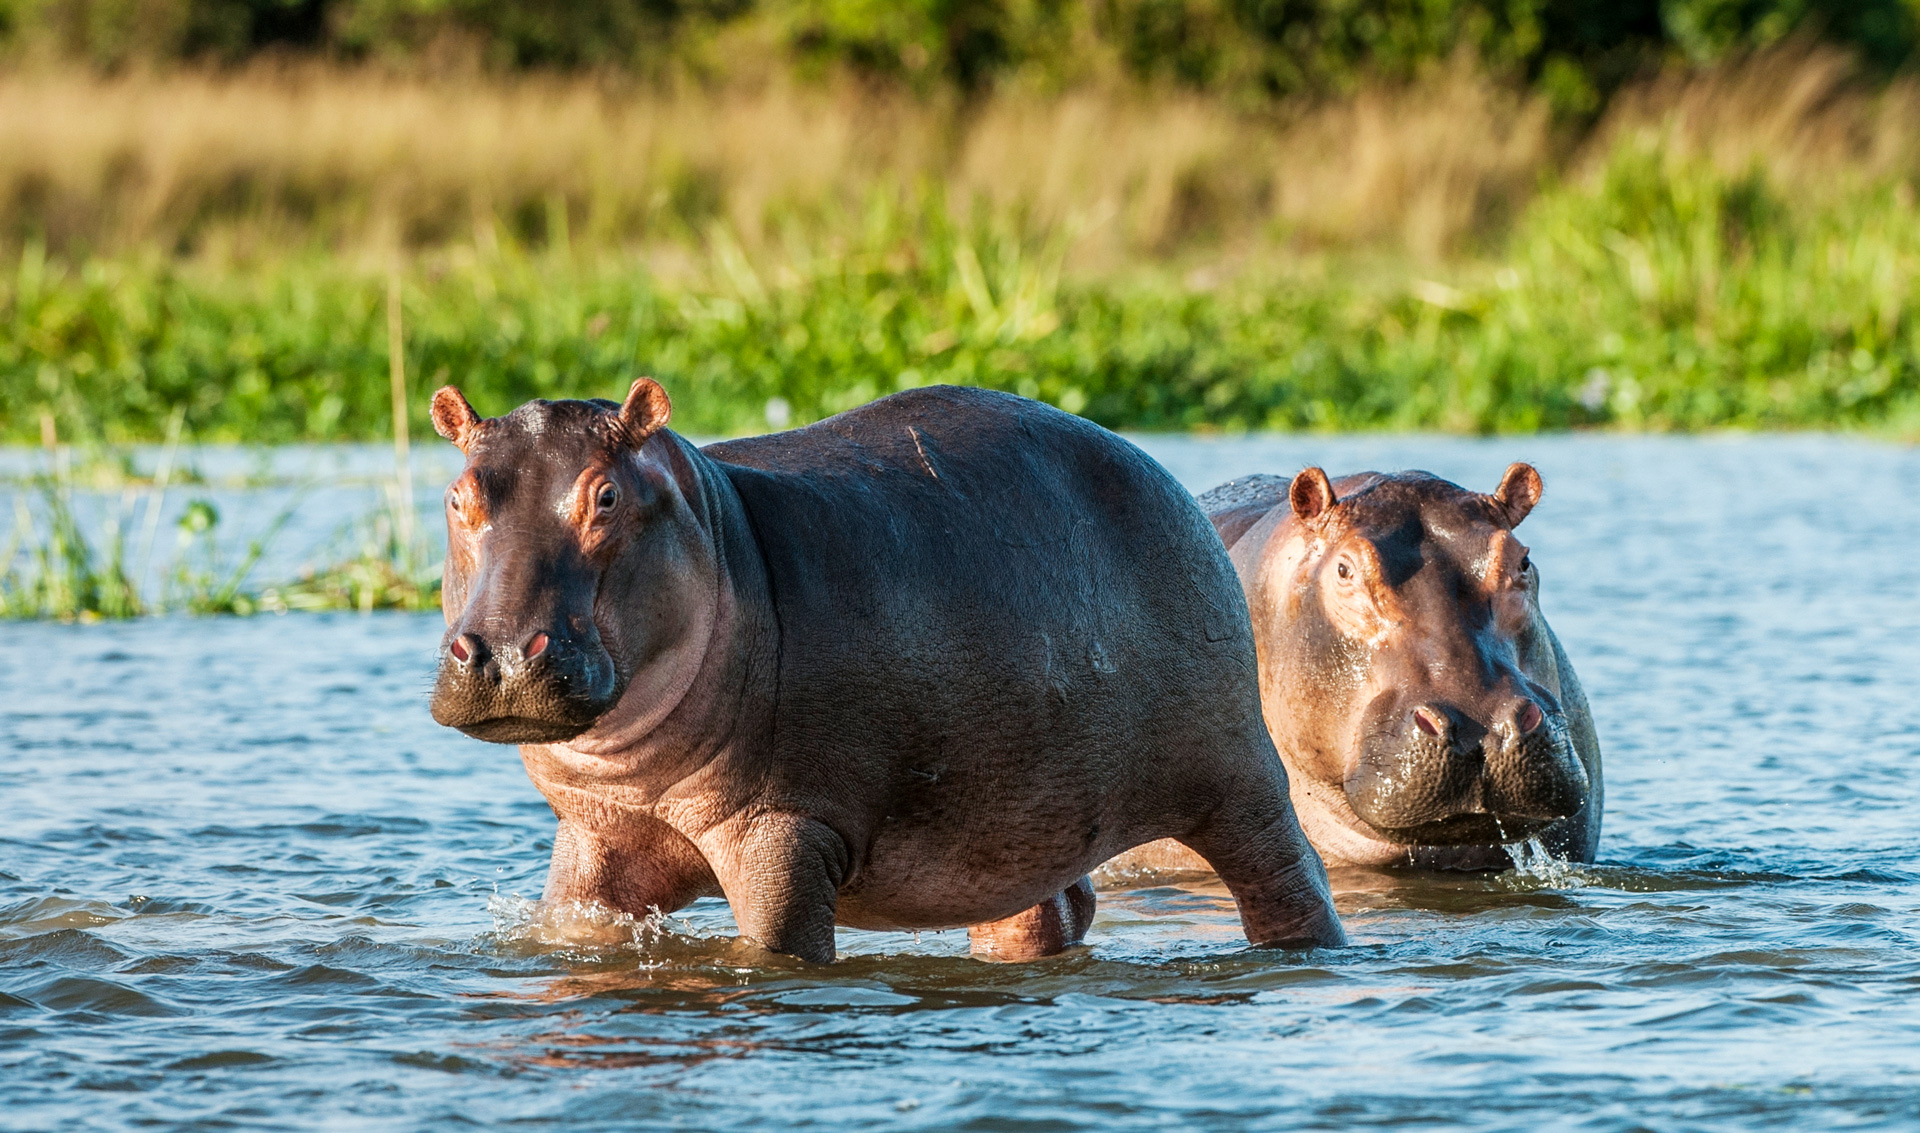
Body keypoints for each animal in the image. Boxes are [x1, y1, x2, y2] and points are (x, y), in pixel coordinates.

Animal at [426, 384, 1344, 967]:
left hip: (1237, 778)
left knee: (1287, 877)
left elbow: (777, 947)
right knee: (1043, 913)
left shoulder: (784, 829)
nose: (503, 653)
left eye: (607, 495)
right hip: (1018, 819)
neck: (715, 530)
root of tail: (1170, 481)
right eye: (457, 497)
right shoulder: (595, 836)